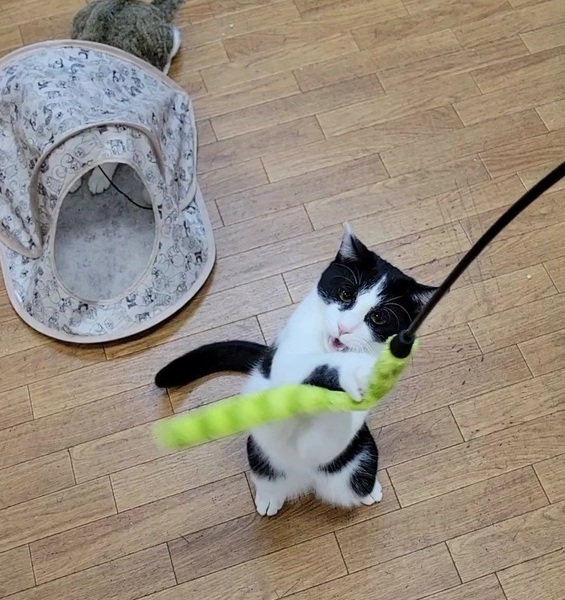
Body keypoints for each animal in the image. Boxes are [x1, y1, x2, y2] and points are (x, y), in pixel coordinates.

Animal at [155, 226, 437, 516]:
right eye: (345, 294)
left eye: (378, 318)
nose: (344, 328)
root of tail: (306, 480)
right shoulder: (285, 362)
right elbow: (297, 373)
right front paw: (352, 370)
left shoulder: (344, 428)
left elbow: (334, 430)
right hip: (260, 451)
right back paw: (269, 498)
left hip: (358, 455)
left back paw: (369, 491)